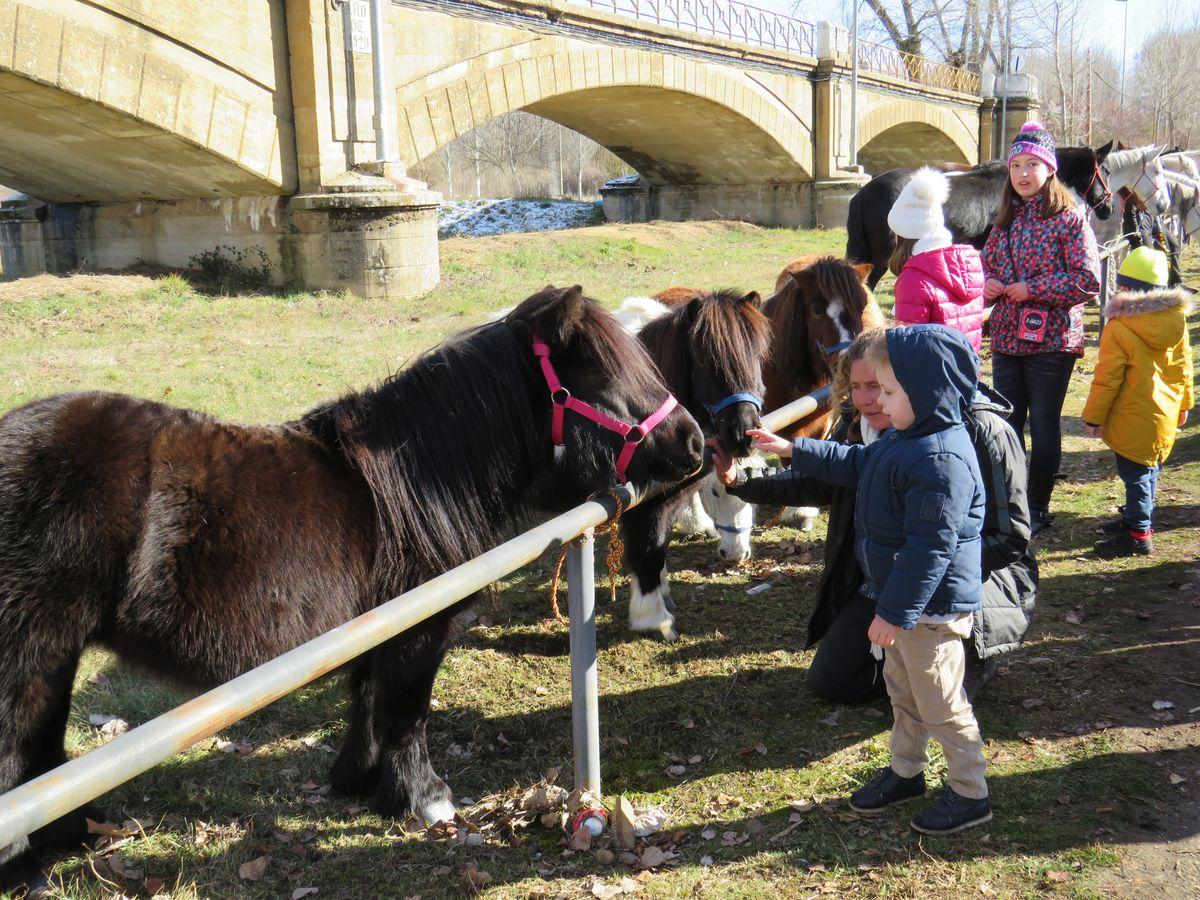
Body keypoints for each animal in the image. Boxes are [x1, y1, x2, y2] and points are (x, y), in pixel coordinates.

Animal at [0, 285, 700, 892]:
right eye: (602, 379)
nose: (693, 441)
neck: (422, 482)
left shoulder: (372, 632)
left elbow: (365, 702)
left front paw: (359, 784)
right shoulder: (418, 636)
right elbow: (407, 713)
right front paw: (425, 799)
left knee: (40, 750)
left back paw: (72, 838)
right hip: (30, 652)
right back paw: (26, 868)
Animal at [614, 289, 772, 643]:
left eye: (756, 355)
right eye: (703, 360)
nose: (743, 433)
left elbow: (659, 543)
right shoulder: (639, 503)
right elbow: (647, 549)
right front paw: (654, 618)